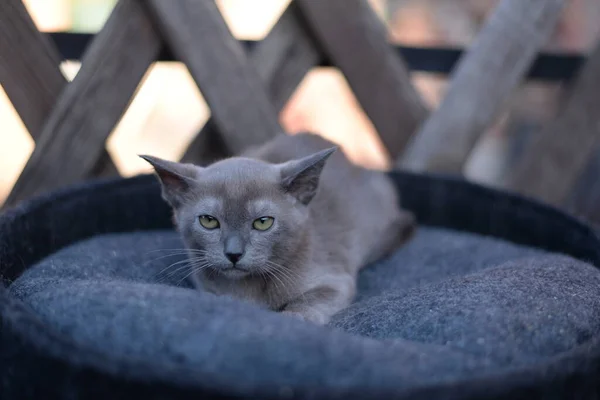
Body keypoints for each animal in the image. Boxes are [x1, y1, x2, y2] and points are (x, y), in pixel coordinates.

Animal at [142, 132, 412, 324]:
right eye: (209, 221)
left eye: (263, 222)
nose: (233, 254)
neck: (245, 290)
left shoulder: (335, 280)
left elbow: (309, 301)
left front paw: (293, 317)